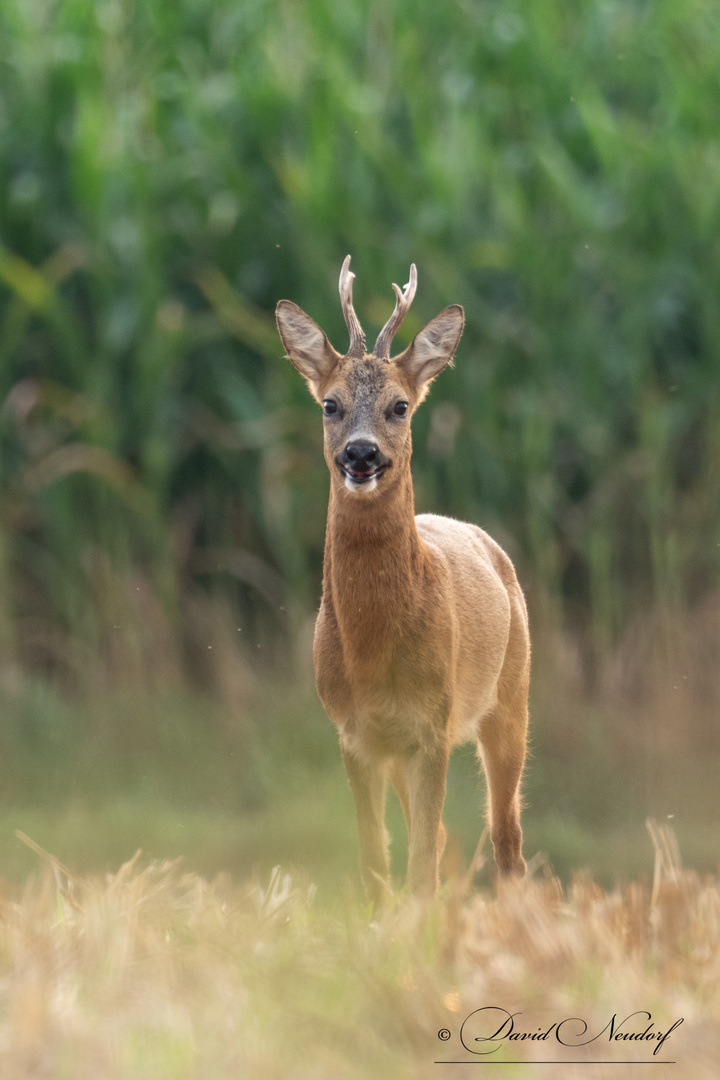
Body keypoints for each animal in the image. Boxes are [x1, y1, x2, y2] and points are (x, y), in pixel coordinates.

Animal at [276, 259, 528, 902]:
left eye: (400, 407)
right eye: (330, 405)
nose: (361, 455)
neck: (375, 649)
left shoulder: (432, 726)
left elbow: (419, 868)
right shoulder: (354, 734)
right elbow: (376, 859)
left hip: (511, 696)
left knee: (505, 835)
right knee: (440, 838)